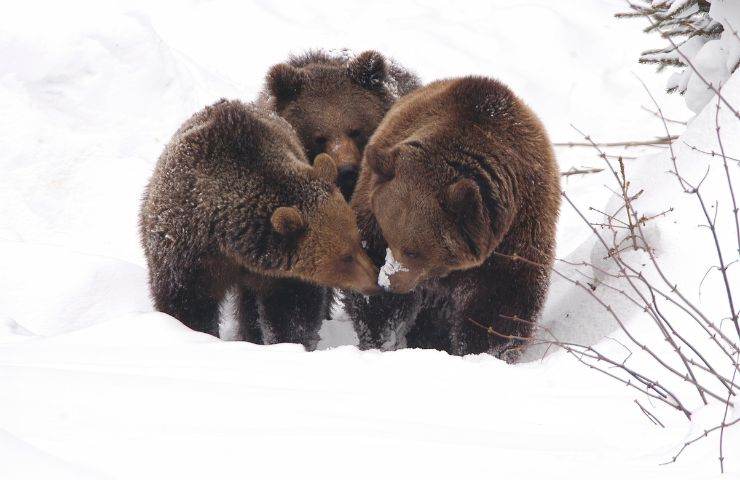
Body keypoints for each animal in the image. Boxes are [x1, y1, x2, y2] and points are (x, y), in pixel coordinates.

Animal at [140, 100, 382, 348]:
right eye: (345, 257)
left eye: (358, 240)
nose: (376, 279)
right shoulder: (188, 250)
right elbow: (188, 304)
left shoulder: (280, 273)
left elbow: (293, 309)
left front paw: (290, 341)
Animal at [344, 76, 556, 360]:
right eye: (389, 238)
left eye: (413, 251)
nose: (388, 283)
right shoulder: (370, 214)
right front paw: (382, 337)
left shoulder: (515, 235)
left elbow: (501, 303)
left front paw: (484, 350)